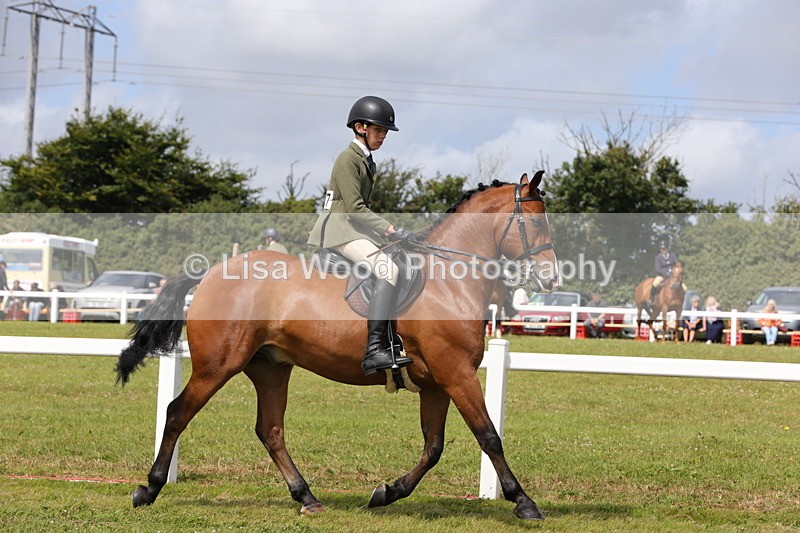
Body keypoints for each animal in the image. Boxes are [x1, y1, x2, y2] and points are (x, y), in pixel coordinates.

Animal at [115, 171, 560, 521]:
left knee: (270, 430)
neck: (448, 278)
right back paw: (148, 489)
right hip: (218, 365)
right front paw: (524, 502)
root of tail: (209, 274)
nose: (551, 279)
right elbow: (489, 436)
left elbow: (433, 448)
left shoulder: (437, 382)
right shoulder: (457, 374)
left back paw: (307, 497)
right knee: (178, 413)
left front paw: (387, 493)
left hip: (270, 368)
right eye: (537, 223)